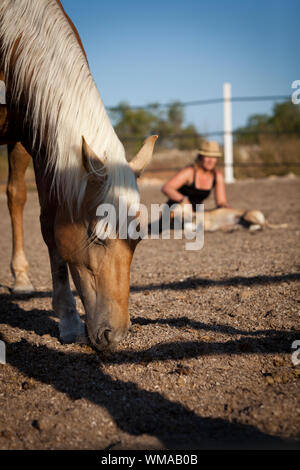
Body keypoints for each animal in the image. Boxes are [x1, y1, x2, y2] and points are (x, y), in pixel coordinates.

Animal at [0, 0, 158, 350]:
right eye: (97, 236)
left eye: (139, 237)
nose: (116, 335)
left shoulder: (42, 142)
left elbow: (49, 226)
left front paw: (68, 321)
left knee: (16, 196)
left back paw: (21, 277)